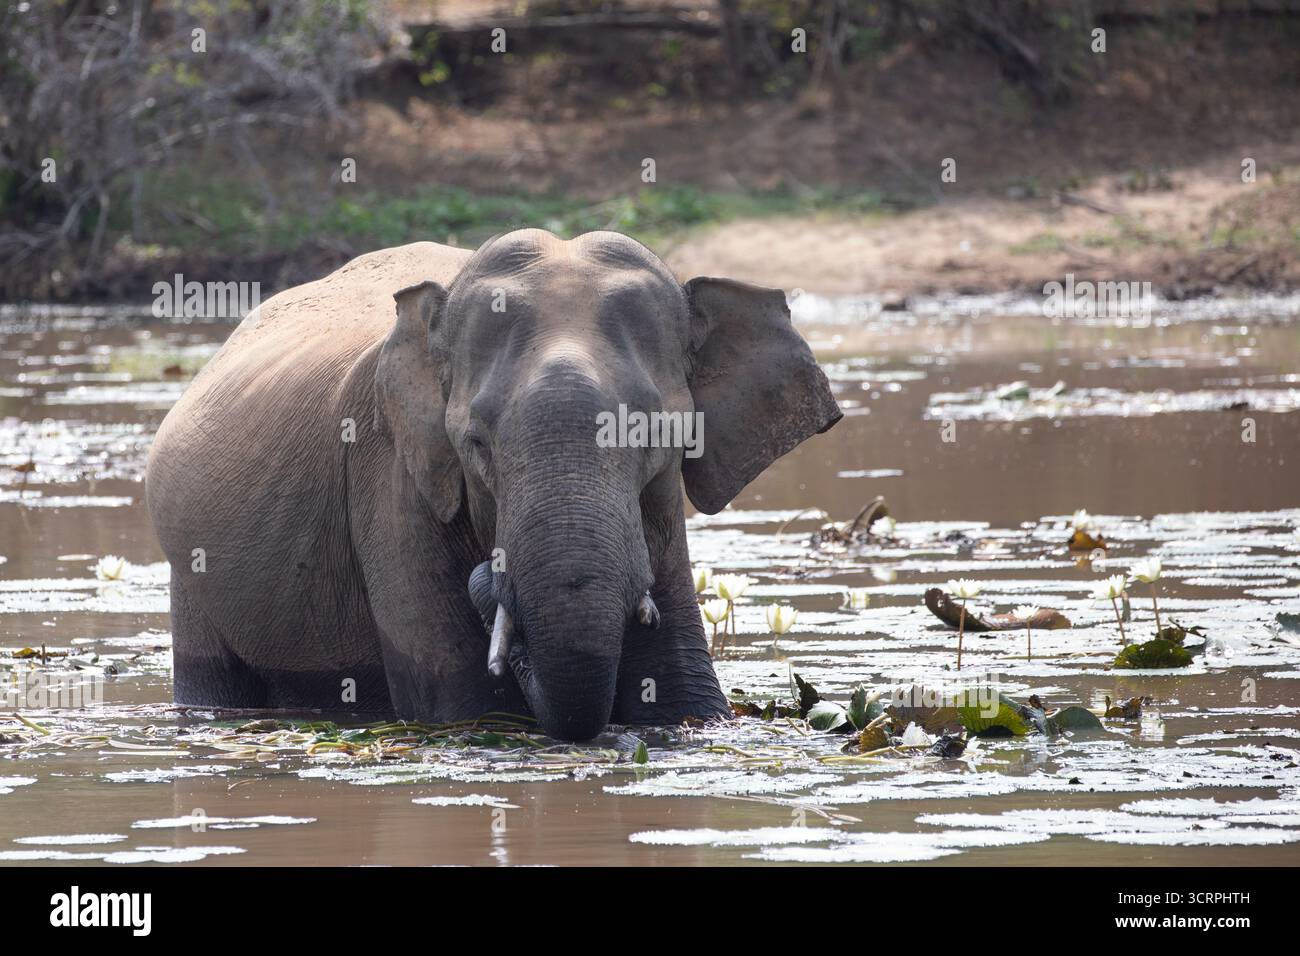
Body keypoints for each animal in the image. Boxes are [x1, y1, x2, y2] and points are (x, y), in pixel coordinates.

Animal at [145, 229, 842, 740]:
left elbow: (680, 697)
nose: (488, 575)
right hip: (193, 579)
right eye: (476, 444)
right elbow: (469, 706)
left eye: (656, 433)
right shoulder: (392, 480)